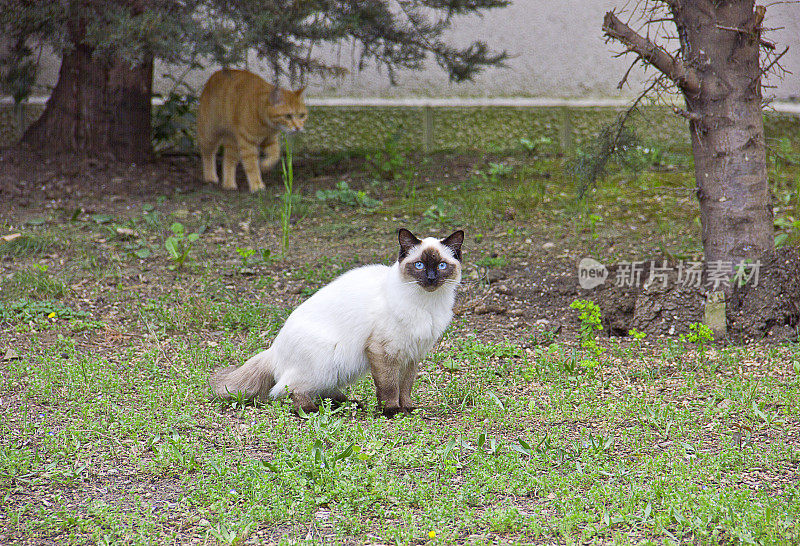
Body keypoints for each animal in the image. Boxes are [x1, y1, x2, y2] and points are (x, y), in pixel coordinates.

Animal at [209, 227, 466, 414]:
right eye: (420, 265)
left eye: (441, 265)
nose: (431, 279)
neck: (427, 305)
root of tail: (274, 350)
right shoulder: (384, 351)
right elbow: (389, 387)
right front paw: (392, 411)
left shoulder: (412, 354)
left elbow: (405, 386)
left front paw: (409, 409)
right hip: (327, 361)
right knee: (290, 391)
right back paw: (315, 410)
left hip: (339, 370)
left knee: (322, 391)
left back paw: (350, 404)